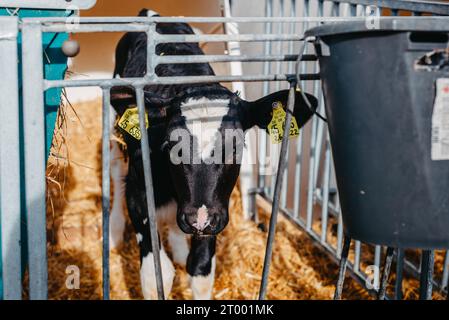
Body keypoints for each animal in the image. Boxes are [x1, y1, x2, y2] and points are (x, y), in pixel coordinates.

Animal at [108, 10, 318, 300]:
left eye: (237, 145)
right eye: (171, 145)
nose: (199, 219)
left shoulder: (215, 213)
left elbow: (201, 271)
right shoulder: (139, 193)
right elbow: (155, 275)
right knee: (115, 169)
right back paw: (115, 231)